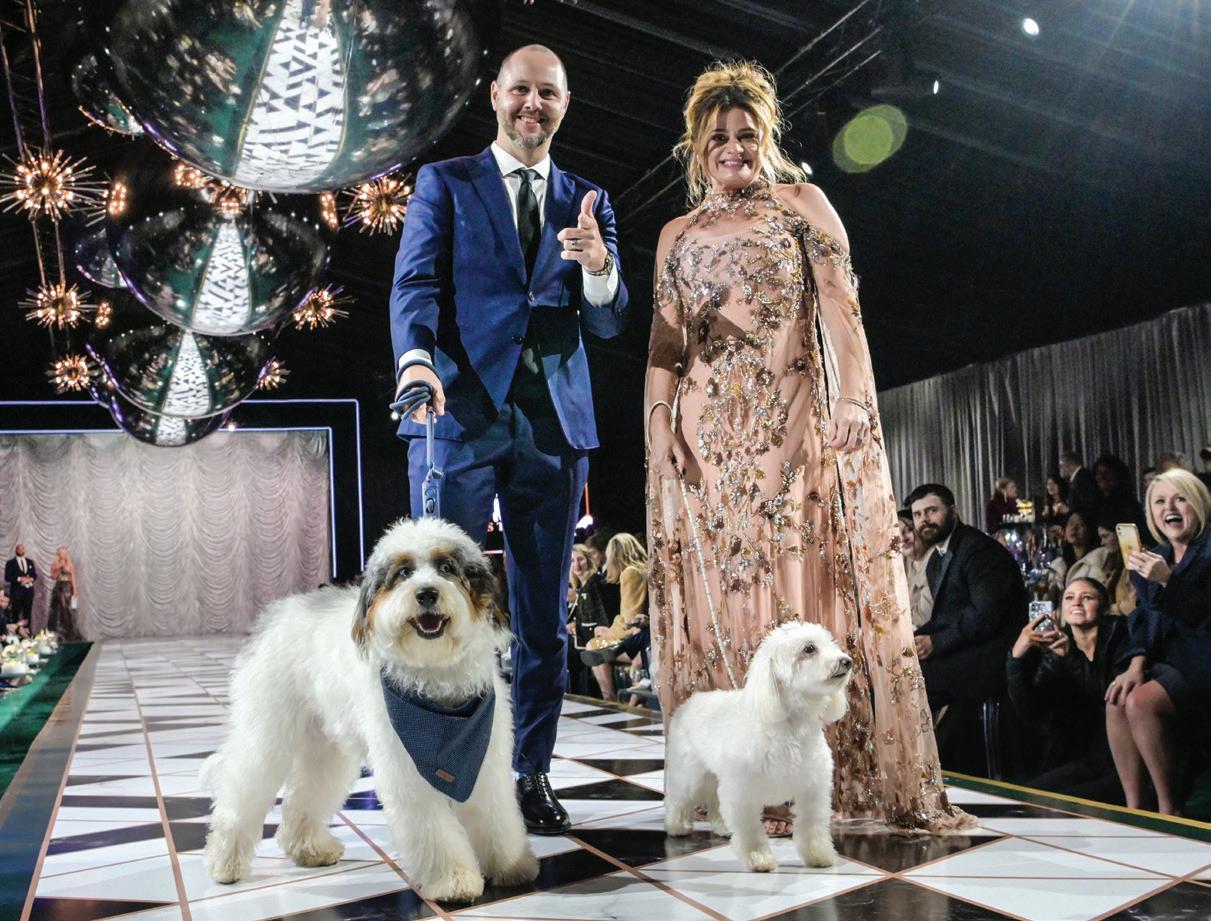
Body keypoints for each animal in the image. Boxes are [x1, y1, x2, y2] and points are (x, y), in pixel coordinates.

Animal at [201, 518, 539, 901]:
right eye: (404, 572)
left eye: (447, 568)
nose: (426, 594)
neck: (434, 681)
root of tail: (277, 615)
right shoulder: (408, 769)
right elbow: (436, 833)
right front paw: (454, 880)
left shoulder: (483, 760)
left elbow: (496, 816)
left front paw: (511, 865)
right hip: (267, 733)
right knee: (241, 792)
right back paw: (225, 863)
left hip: (325, 747)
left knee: (303, 797)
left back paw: (309, 848)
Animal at [664, 621, 852, 872]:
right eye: (809, 649)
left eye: (831, 643)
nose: (847, 660)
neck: (789, 724)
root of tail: (689, 702)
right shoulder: (743, 792)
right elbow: (749, 830)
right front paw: (758, 858)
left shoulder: (813, 788)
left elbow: (812, 826)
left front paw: (819, 855)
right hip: (689, 772)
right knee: (678, 797)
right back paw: (676, 826)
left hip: (715, 776)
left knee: (715, 801)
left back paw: (722, 827)